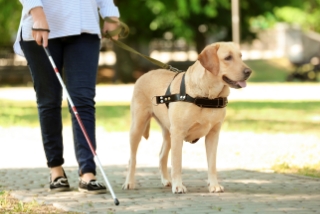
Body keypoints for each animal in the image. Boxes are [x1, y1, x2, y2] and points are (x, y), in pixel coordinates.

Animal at [122, 41, 250, 194]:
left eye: (240, 56)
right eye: (228, 58)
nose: (248, 72)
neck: (207, 96)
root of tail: (145, 74)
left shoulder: (213, 135)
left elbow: (212, 164)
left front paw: (214, 185)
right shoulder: (178, 133)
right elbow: (177, 163)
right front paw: (178, 186)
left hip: (168, 133)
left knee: (162, 156)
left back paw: (166, 180)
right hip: (138, 126)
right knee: (132, 159)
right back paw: (129, 182)